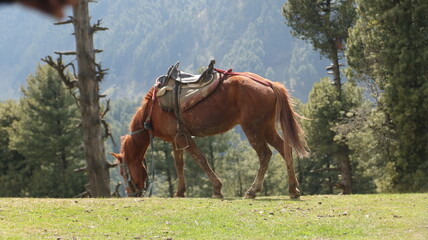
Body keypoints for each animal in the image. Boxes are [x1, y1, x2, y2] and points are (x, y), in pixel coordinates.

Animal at [111, 67, 308, 199]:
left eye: (123, 173)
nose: (131, 193)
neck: (153, 110)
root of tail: (269, 84)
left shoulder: (183, 137)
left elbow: (201, 160)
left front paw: (217, 189)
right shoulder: (176, 139)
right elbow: (178, 164)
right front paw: (180, 191)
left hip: (252, 128)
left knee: (265, 154)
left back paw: (252, 191)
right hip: (266, 128)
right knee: (285, 149)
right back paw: (293, 189)